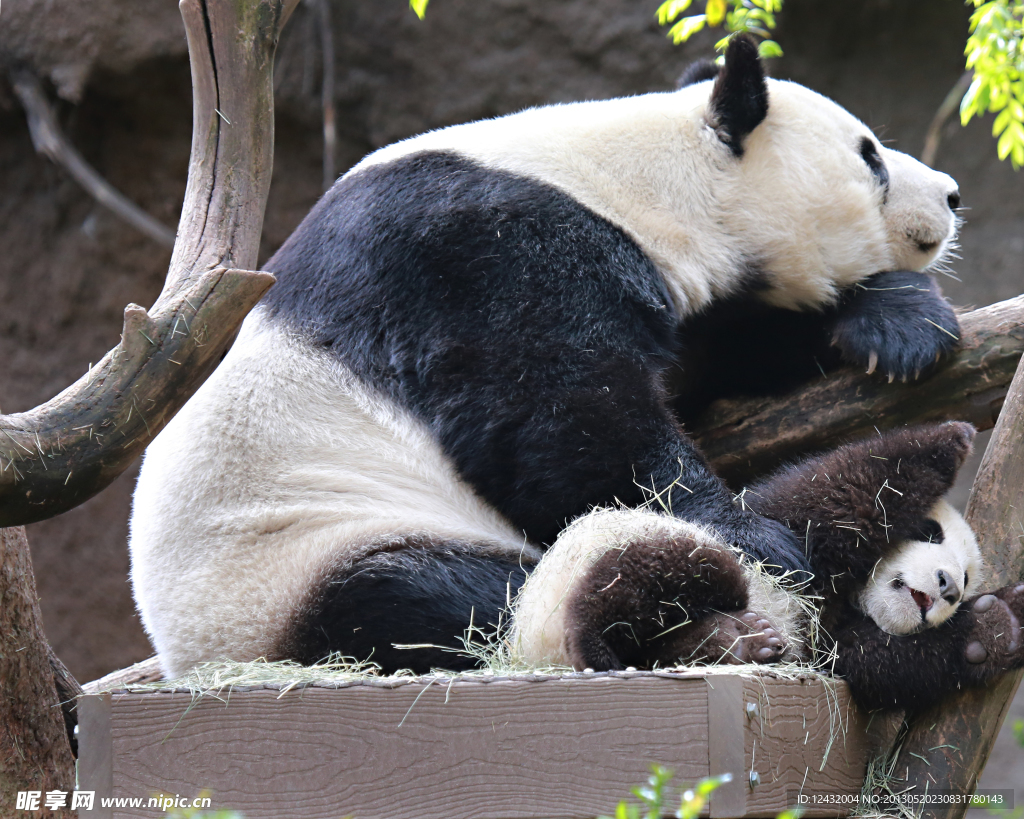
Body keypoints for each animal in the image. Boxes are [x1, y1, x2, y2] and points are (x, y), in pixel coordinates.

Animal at [130, 35, 958, 679]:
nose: (950, 195)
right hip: (298, 554)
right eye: (872, 159)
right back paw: (706, 627)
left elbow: (715, 357)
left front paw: (899, 322)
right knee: (442, 597)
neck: (639, 179)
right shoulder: (480, 255)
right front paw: (760, 538)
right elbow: (560, 420)